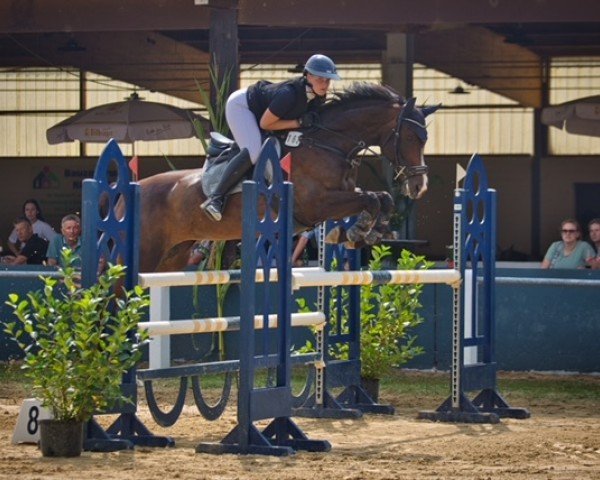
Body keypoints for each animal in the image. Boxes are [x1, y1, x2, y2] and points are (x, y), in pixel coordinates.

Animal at [136, 82, 438, 270]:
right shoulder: (317, 205)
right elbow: (372, 199)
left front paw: (367, 231)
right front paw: (358, 229)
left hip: (173, 255)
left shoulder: (342, 196)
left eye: (425, 138)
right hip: (147, 253)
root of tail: (136, 187)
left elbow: (381, 198)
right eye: (412, 137)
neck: (329, 144)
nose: (419, 186)